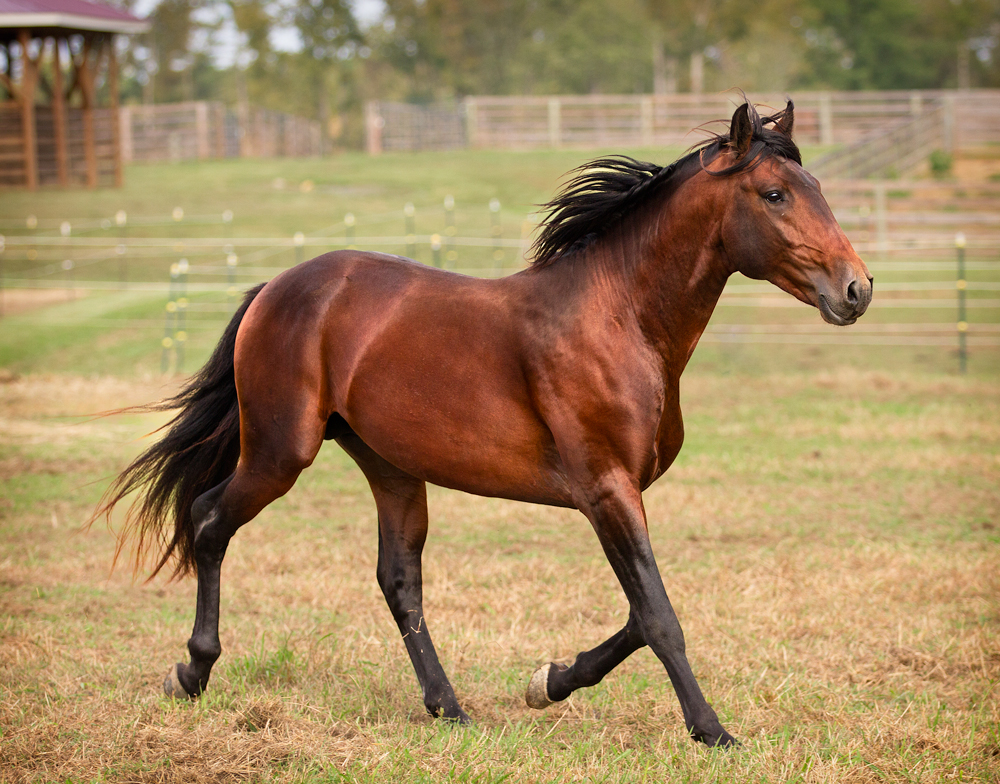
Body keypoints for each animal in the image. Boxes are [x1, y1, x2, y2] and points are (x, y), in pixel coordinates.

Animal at [97, 101, 872, 752]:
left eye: (814, 186)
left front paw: (547, 682)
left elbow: (636, 612)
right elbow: (658, 616)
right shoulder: (606, 489)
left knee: (398, 579)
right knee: (208, 521)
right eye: (775, 194)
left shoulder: (622, 494)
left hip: (391, 468)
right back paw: (190, 674)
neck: (620, 319)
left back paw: (450, 707)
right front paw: (712, 731)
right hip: (280, 453)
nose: (857, 289)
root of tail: (276, 288)